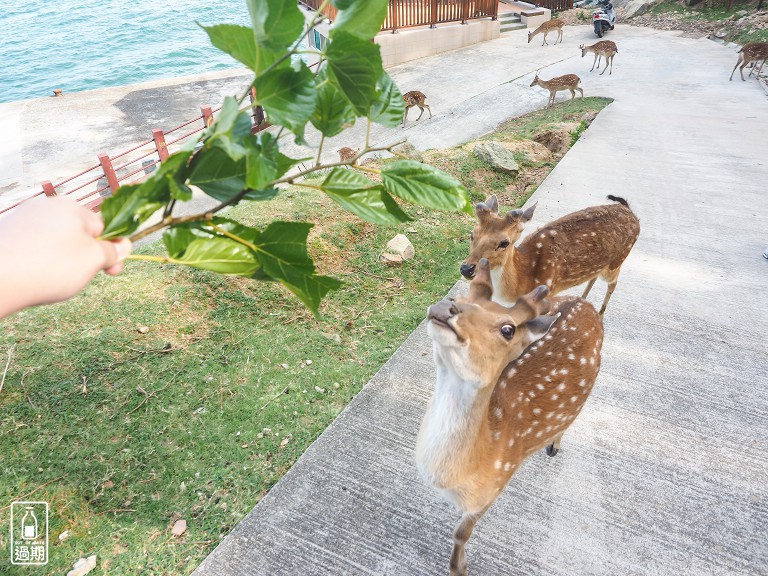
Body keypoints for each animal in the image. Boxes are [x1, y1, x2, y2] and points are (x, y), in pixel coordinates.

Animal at [416, 260, 604, 576]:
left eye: (507, 329)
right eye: (461, 297)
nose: (447, 307)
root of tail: (585, 303)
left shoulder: (496, 484)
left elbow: (461, 533)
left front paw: (459, 568)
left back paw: (554, 446)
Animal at [462, 196, 640, 318]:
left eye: (504, 242)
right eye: (472, 234)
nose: (466, 268)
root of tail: (630, 211)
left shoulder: (548, 293)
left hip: (617, 262)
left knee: (613, 284)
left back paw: (600, 315)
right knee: (593, 277)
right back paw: (581, 300)